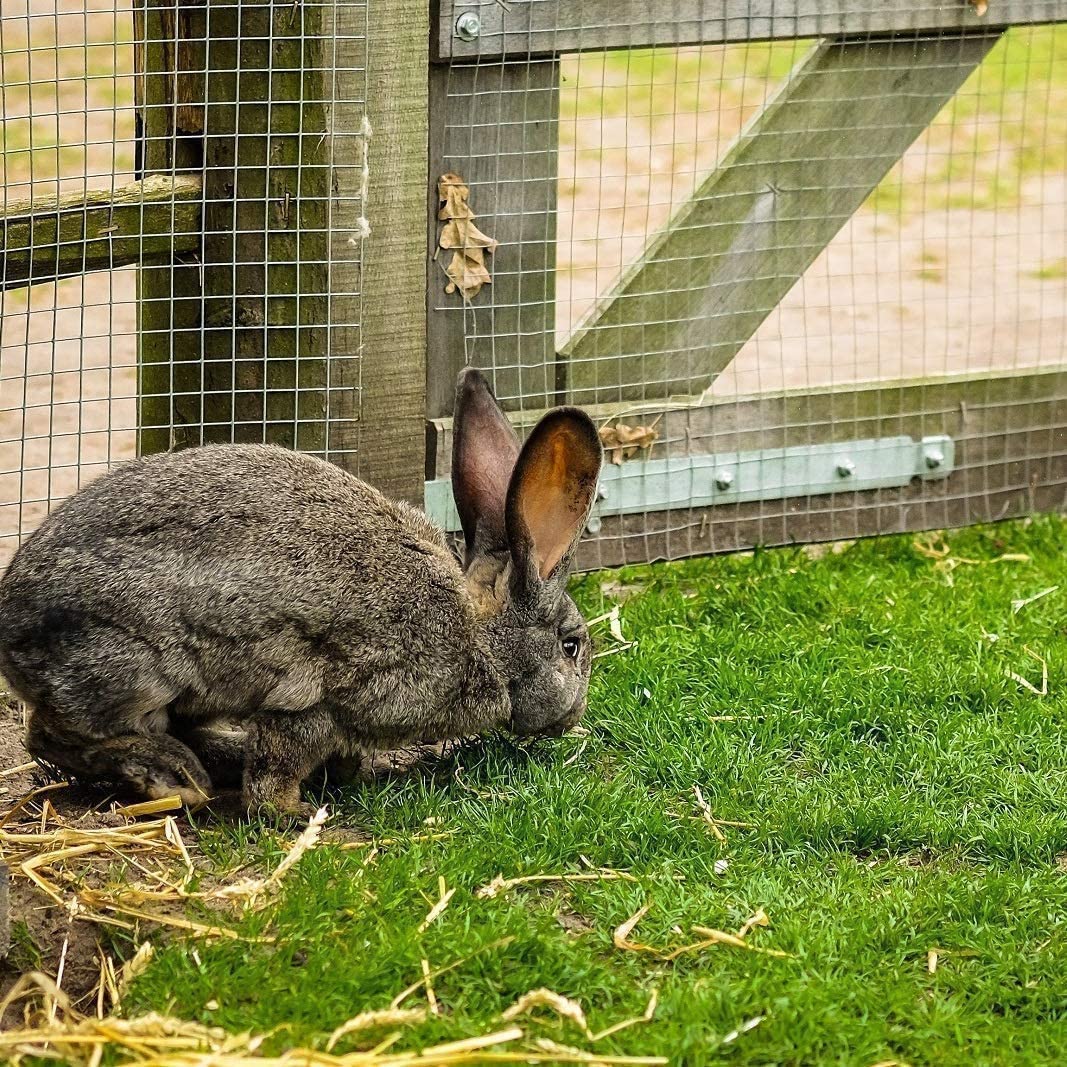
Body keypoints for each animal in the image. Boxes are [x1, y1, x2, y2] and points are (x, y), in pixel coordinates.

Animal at [0, 371, 606, 810]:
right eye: (572, 646)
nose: (574, 716)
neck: (478, 632)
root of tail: (10, 625)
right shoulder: (327, 700)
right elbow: (278, 766)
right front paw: (291, 812)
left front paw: (346, 777)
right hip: (131, 670)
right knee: (50, 738)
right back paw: (173, 776)